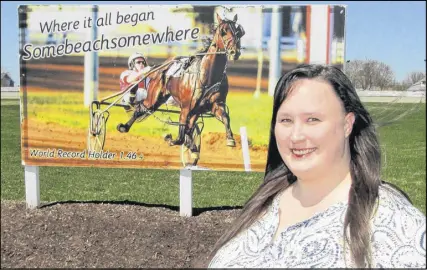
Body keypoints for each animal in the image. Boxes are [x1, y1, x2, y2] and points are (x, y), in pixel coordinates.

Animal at [117, 13, 246, 154]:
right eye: (223, 31)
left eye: (239, 32)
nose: (234, 52)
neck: (207, 75)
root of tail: (161, 67)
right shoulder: (186, 107)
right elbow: (180, 136)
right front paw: (169, 138)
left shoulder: (214, 105)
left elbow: (225, 117)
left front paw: (230, 139)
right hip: (153, 98)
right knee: (140, 109)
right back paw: (124, 126)